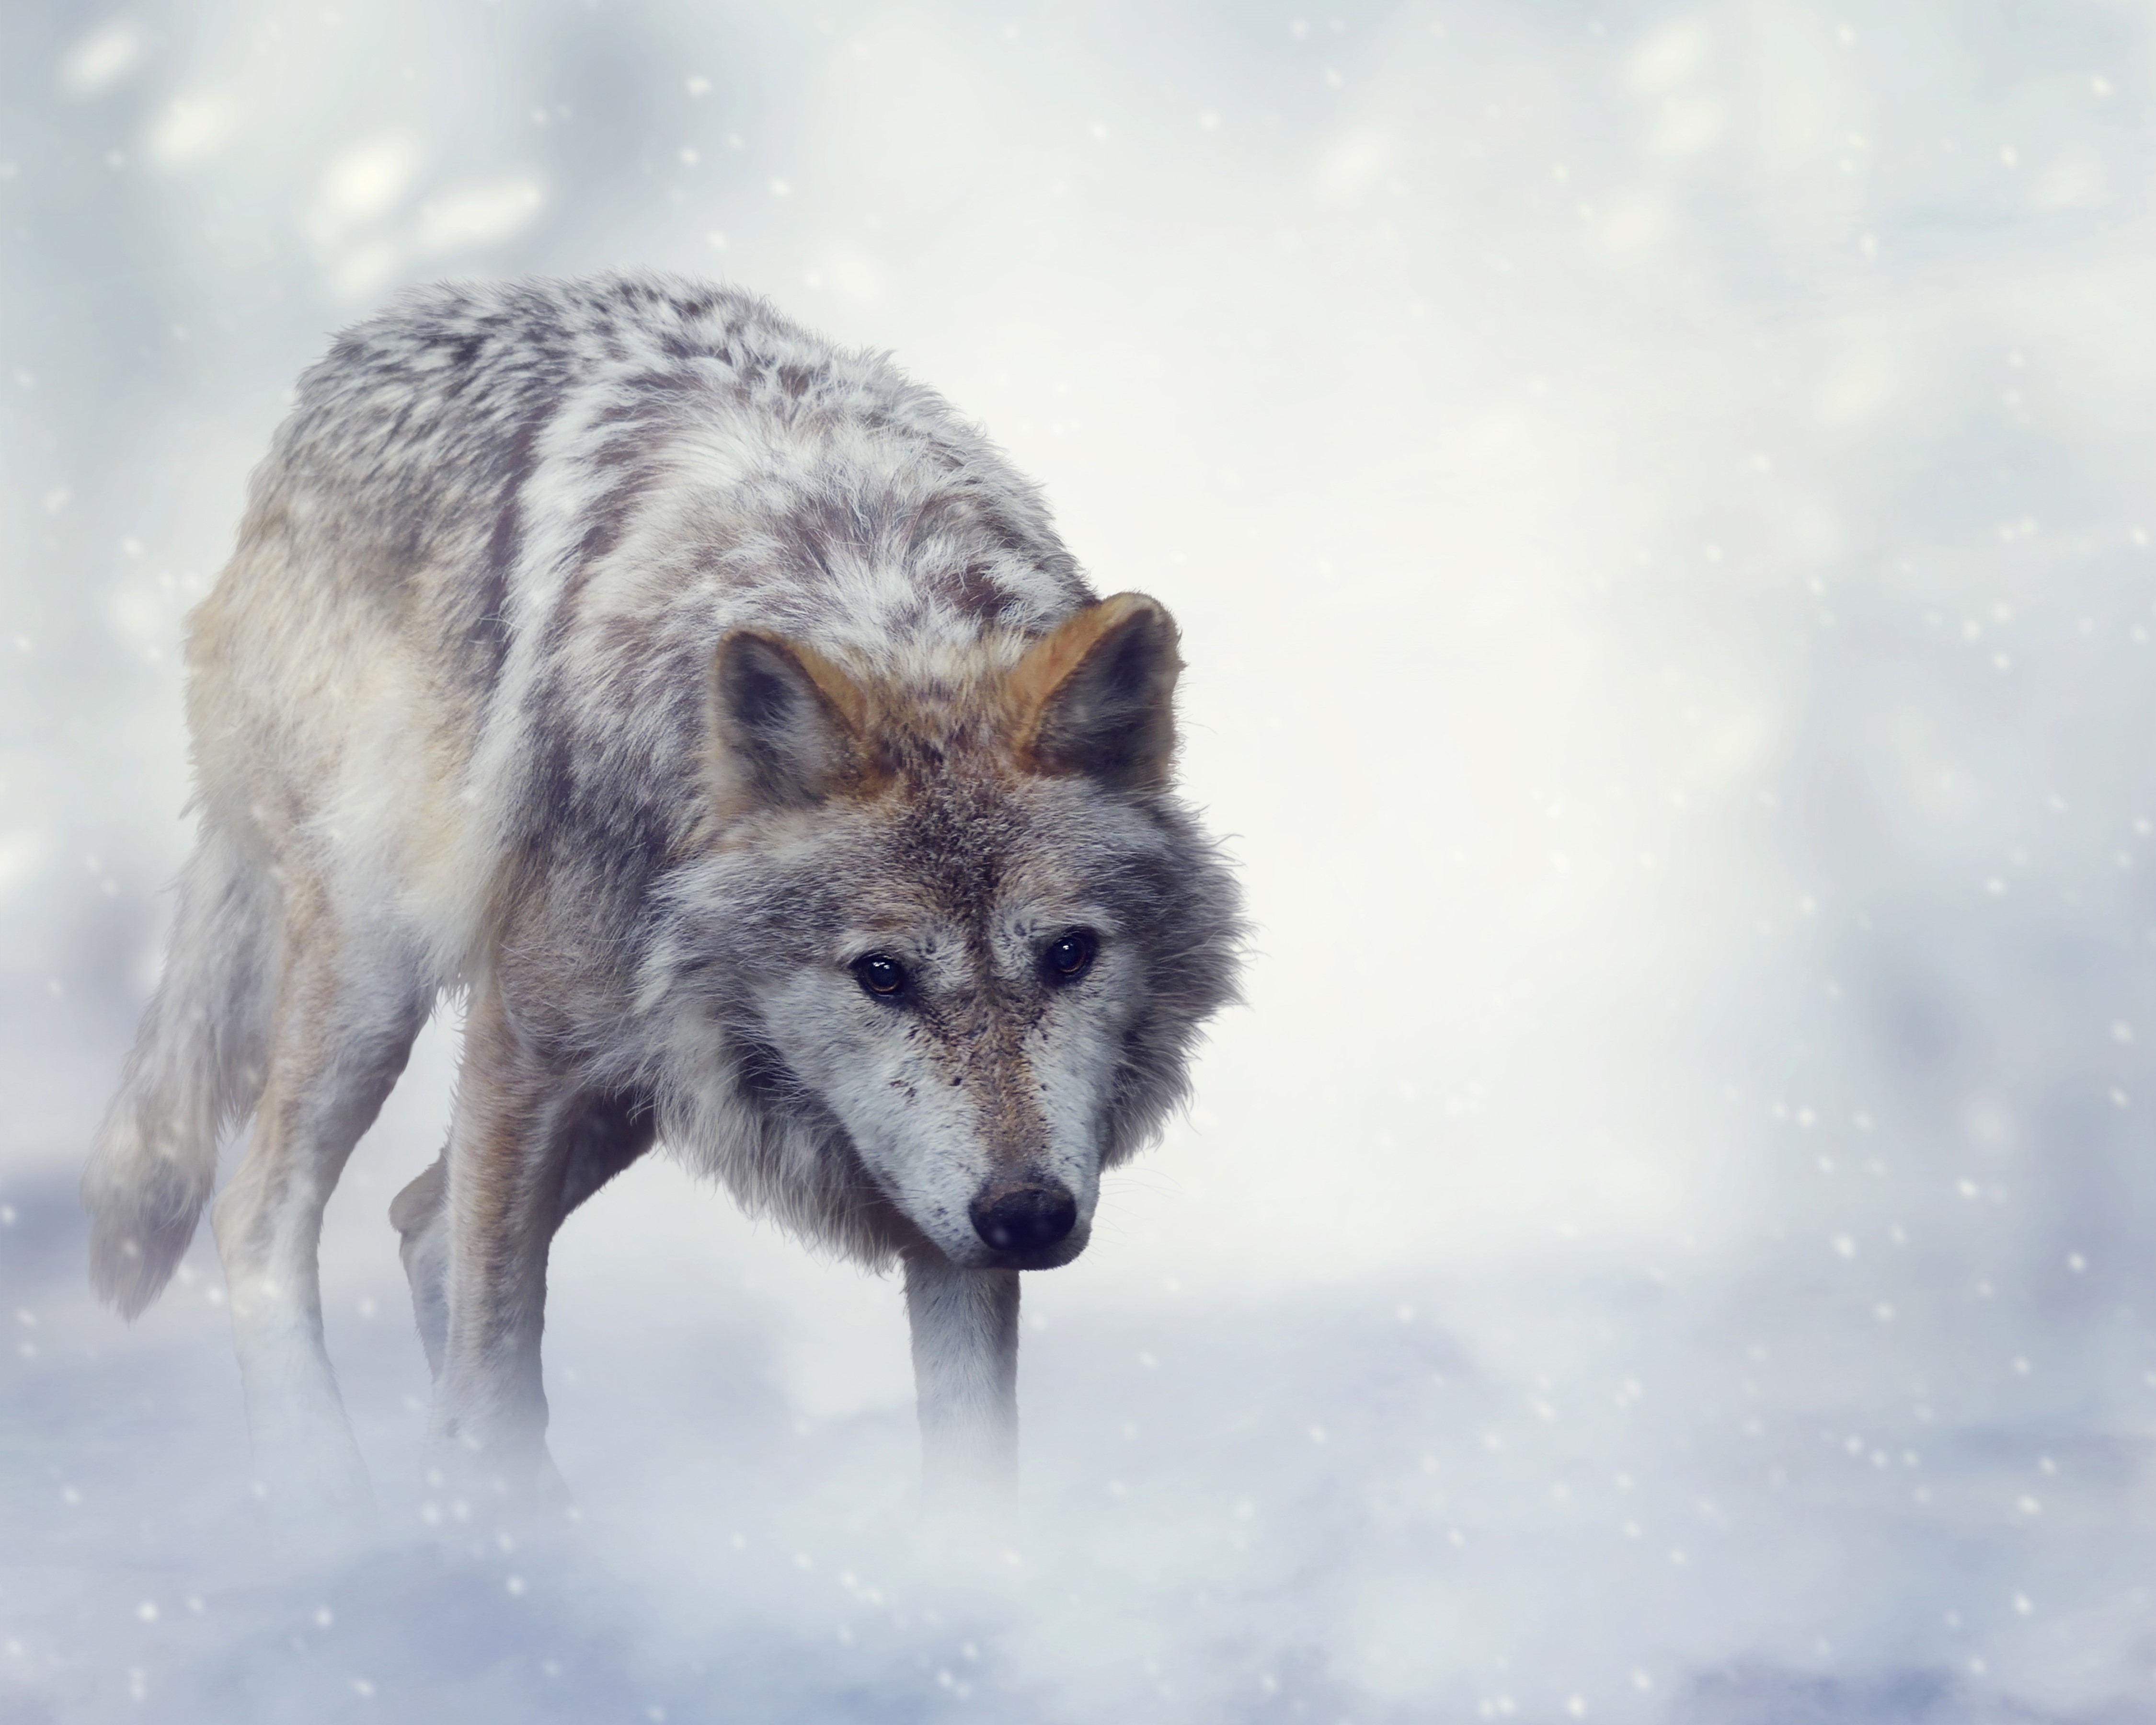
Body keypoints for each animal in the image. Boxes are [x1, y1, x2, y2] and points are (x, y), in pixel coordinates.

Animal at [79, 272, 1241, 1513]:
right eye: (881, 975)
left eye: (1069, 955)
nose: (1028, 1215)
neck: (876, 614)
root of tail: (347, 363)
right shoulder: (527, 1047)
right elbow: (493, 1363)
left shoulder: (927, 1199)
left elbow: (973, 1464)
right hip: (381, 973)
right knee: (262, 1211)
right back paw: (330, 1494)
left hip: (642, 1079)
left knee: (419, 1222)